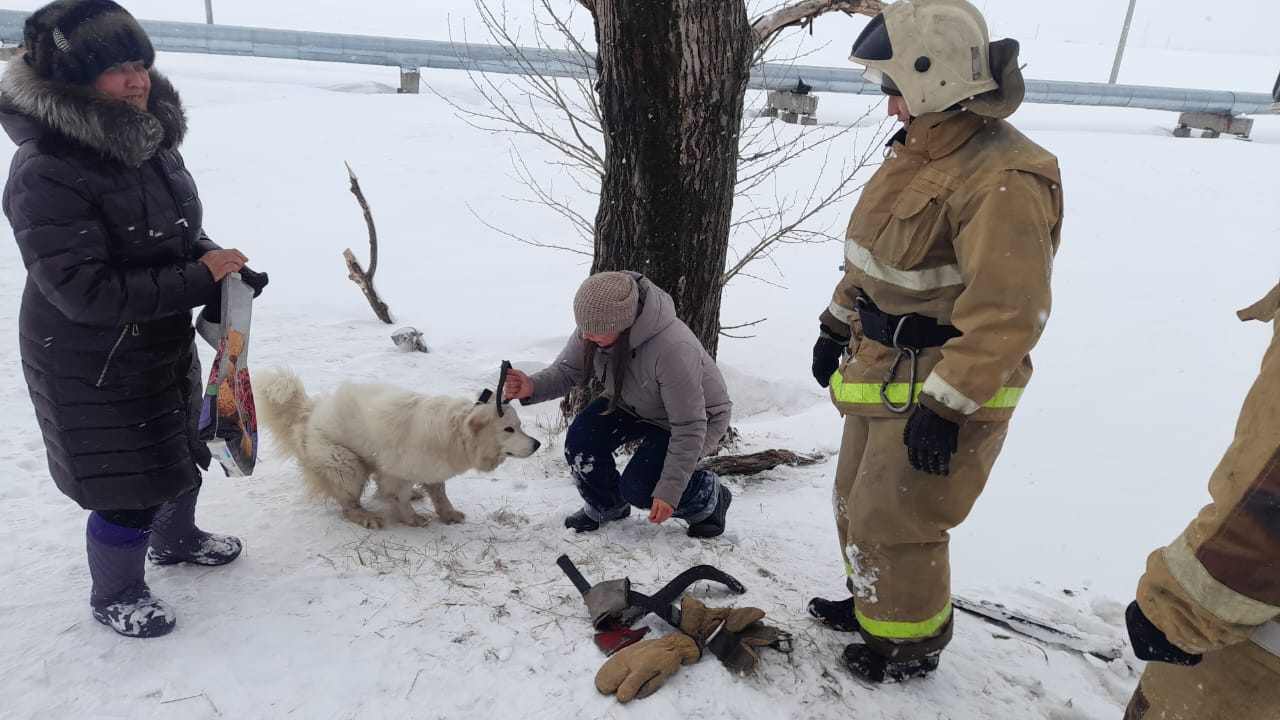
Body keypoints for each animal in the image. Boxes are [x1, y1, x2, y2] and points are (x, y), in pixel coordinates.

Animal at [254, 366, 540, 525]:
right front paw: (411, 519)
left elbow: (440, 493)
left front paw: (447, 514)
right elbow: (398, 496)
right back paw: (365, 517)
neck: (453, 431)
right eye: (509, 429)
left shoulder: (432, 468)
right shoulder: (394, 471)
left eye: (520, 425)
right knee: (348, 503)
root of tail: (308, 412)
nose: (537, 444)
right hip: (347, 464)